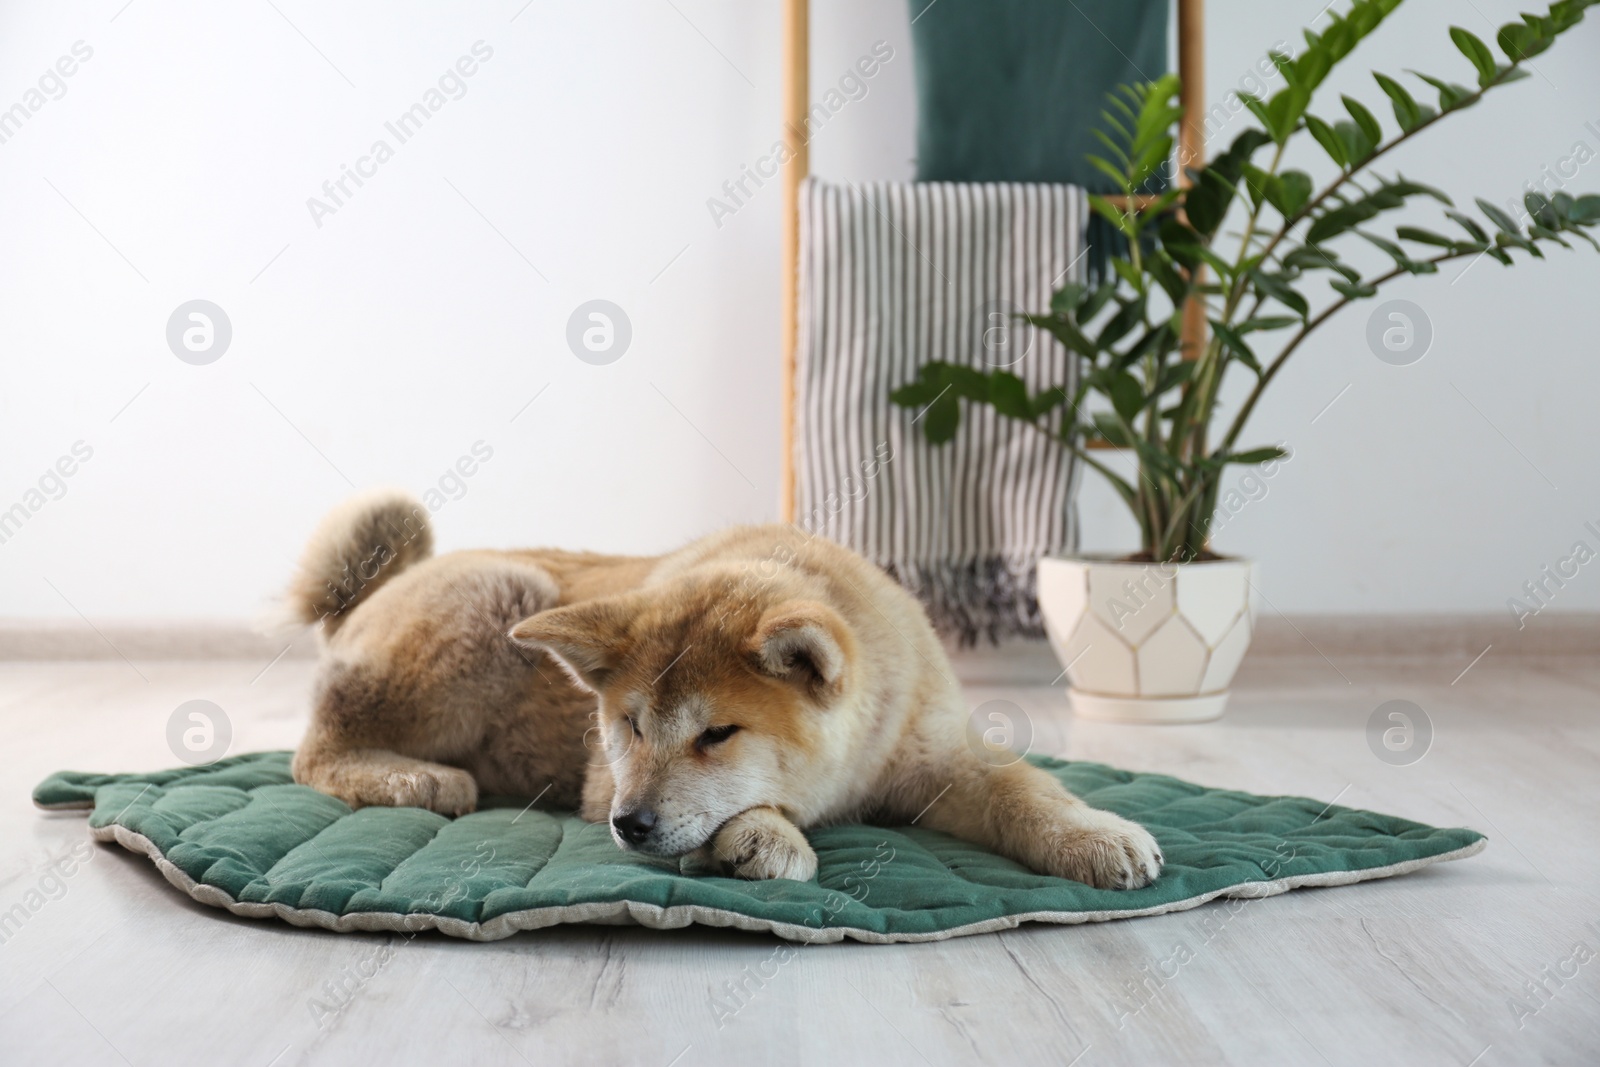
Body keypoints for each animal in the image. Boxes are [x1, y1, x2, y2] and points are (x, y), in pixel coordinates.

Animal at [281, 489, 1164, 889]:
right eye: (630, 725)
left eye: (717, 733)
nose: (630, 823)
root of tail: (376, 590)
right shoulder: (602, 779)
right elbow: (761, 809)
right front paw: (767, 835)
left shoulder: (938, 754)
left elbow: (1025, 790)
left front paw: (1094, 833)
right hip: (500, 593)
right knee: (310, 752)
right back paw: (415, 777)